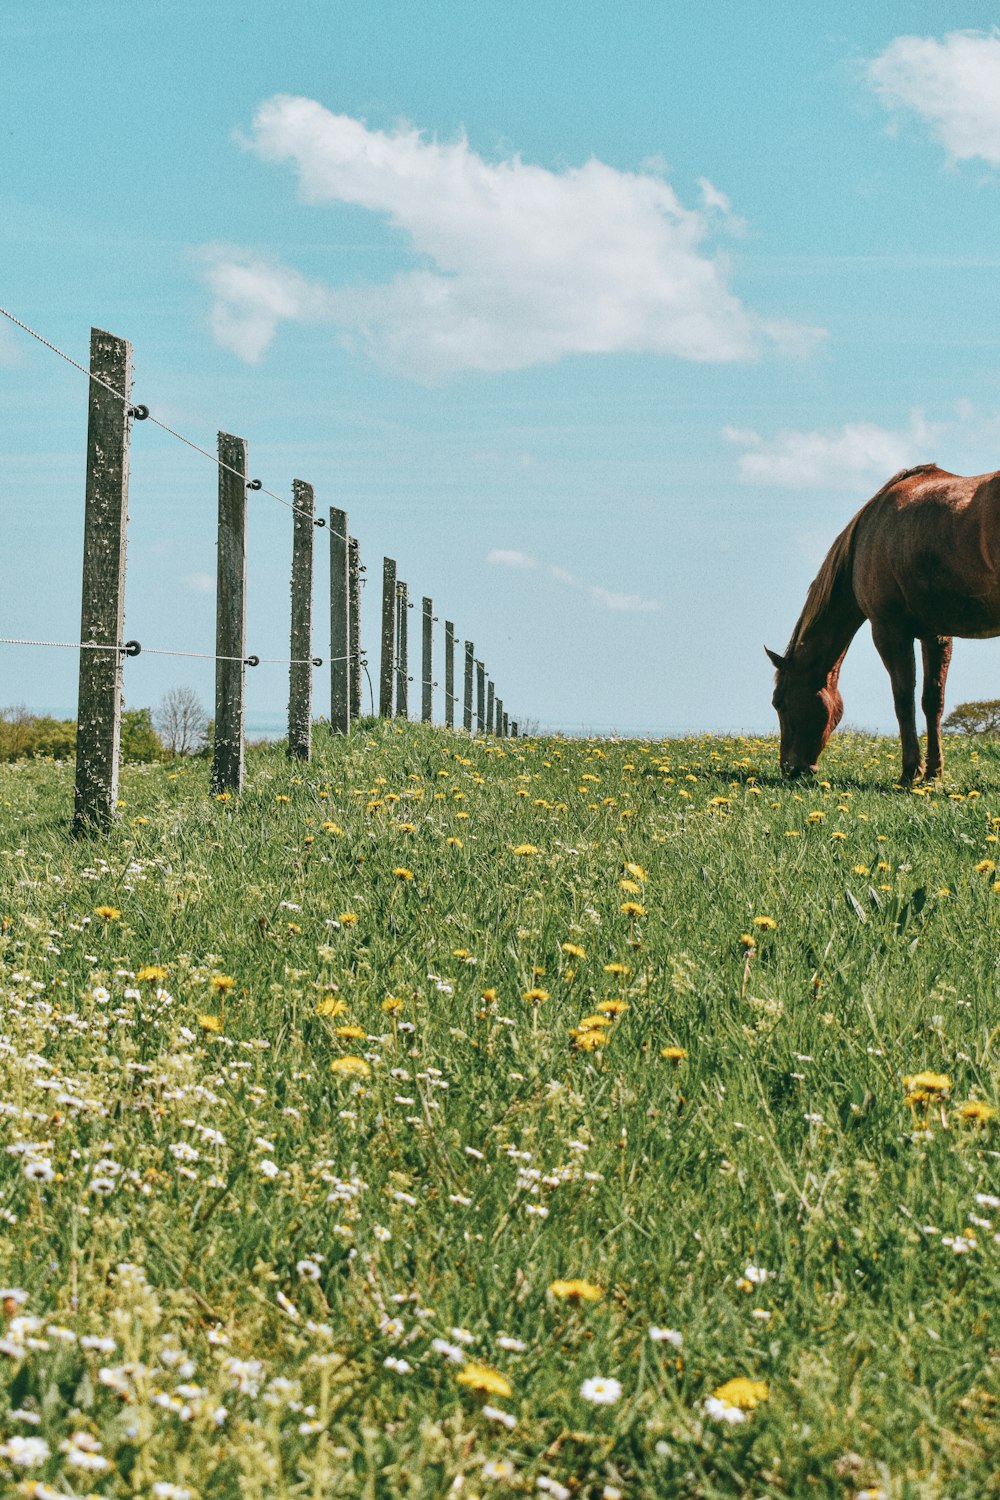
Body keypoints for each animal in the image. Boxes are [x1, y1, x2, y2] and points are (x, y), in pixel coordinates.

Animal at [773, 462, 1000, 780]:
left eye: (778, 702)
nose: (790, 768)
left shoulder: (889, 632)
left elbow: (903, 700)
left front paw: (909, 773)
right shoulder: (936, 635)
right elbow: (932, 701)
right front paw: (933, 773)